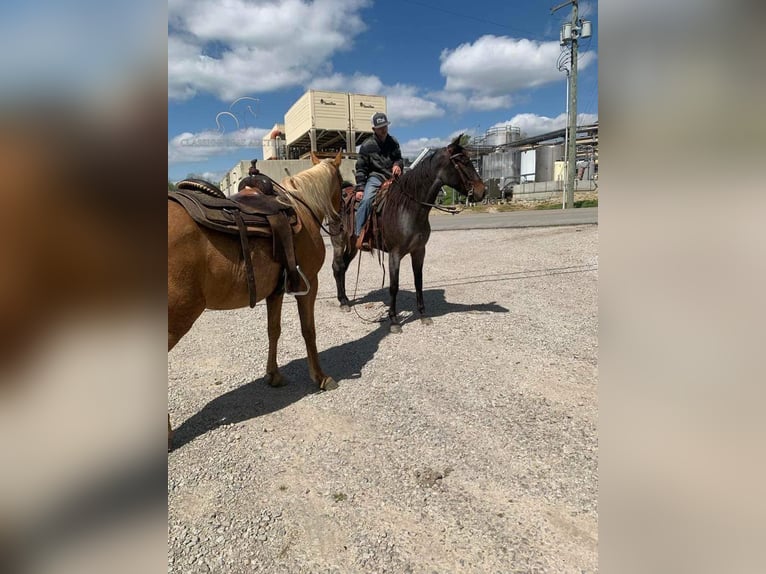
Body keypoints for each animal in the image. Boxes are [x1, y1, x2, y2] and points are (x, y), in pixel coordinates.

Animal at [172, 151, 346, 448]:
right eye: (343, 183)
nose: (342, 219)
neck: (301, 206)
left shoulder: (275, 291)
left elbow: (273, 330)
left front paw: (273, 375)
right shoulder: (309, 283)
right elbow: (308, 331)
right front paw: (320, 377)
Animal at [330, 134, 486, 332]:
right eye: (462, 161)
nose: (482, 191)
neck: (408, 208)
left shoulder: (419, 251)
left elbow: (418, 281)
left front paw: (423, 314)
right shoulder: (394, 254)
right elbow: (394, 286)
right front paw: (394, 320)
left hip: (353, 245)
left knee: (343, 267)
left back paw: (345, 299)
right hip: (338, 240)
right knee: (337, 266)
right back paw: (343, 302)